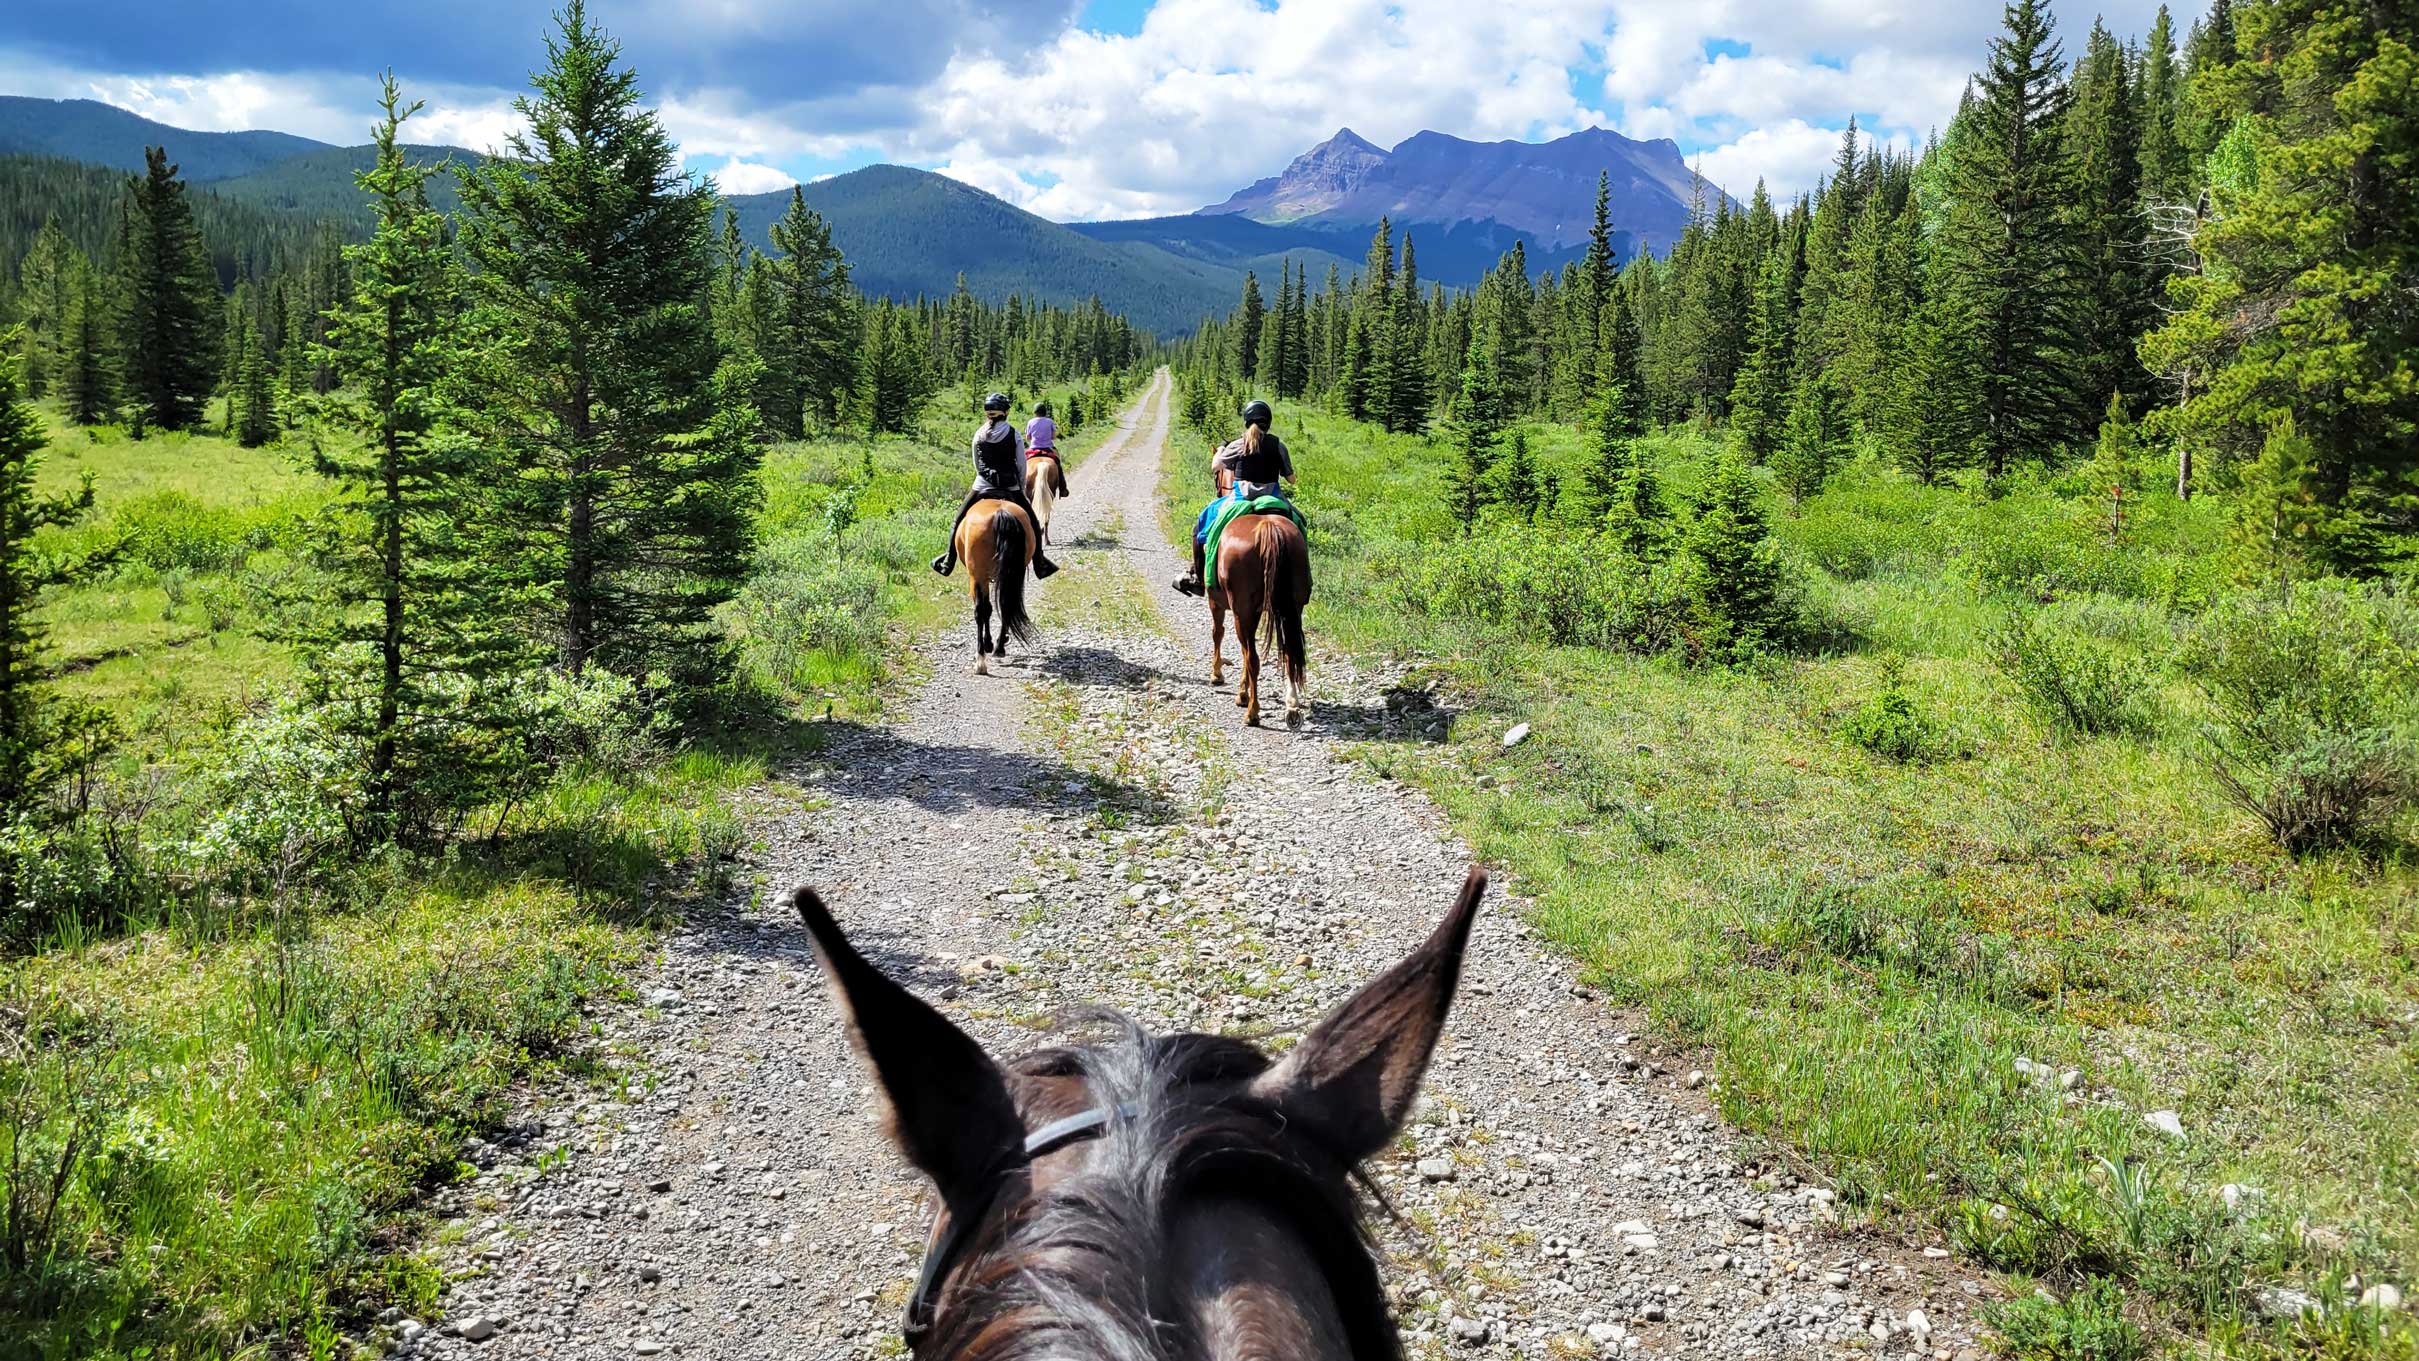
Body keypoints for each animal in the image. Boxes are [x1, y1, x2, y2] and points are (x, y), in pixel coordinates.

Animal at [957, 495, 1035, 676]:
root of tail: (1001, 513)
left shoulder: (979, 579)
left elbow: (986, 609)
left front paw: (988, 643)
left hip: (977, 576)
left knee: (981, 611)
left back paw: (981, 661)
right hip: (1012, 575)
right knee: (1007, 605)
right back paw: (999, 647)